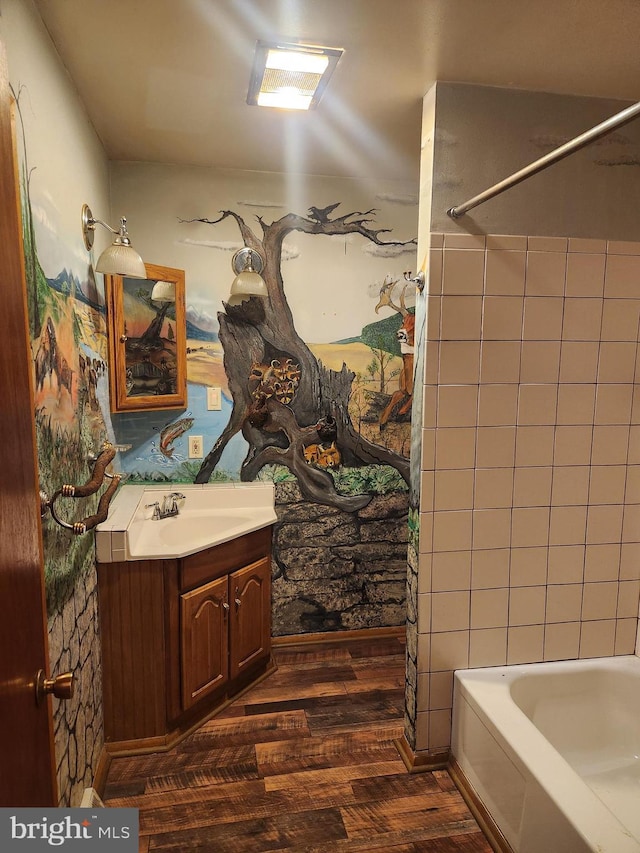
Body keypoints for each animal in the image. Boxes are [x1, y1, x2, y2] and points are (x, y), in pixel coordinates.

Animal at [376, 278, 416, 430]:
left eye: (416, 326)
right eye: (403, 321)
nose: (400, 334)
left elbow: (412, 397)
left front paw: (401, 413)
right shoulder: (401, 388)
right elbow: (394, 395)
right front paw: (382, 421)